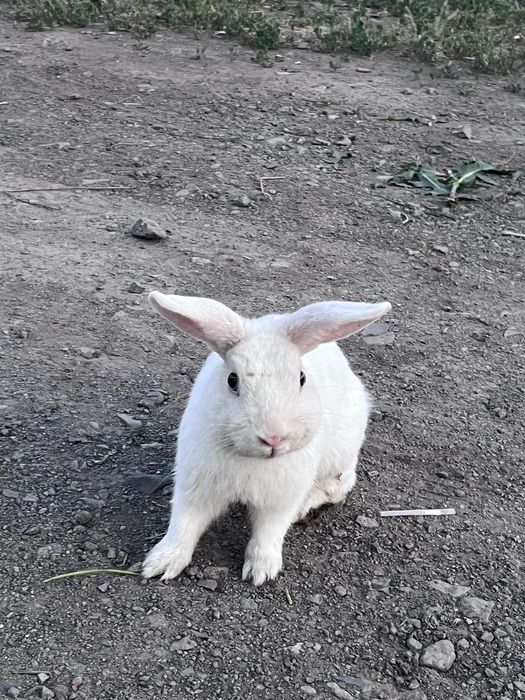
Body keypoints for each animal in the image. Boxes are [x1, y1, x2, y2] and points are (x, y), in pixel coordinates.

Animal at [142, 292, 391, 586]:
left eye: (301, 378)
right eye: (232, 380)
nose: (274, 438)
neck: (253, 459)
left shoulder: (280, 500)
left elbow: (268, 533)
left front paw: (260, 571)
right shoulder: (195, 488)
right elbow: (184, 524)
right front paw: (160, 564)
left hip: (341, 454)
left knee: (338, 487)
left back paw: (306, 505)